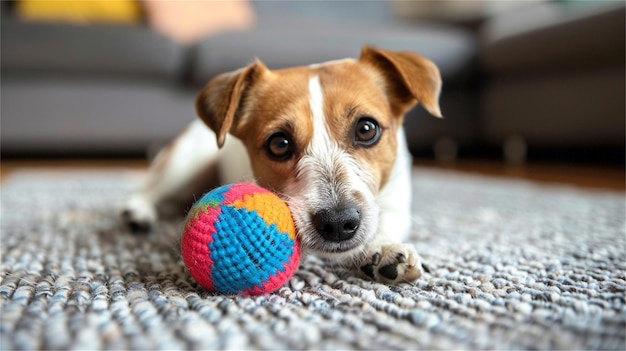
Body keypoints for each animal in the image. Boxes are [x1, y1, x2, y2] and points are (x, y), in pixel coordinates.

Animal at [122, 46, 442, 286]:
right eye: (279, 143)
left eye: (366, 129)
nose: (338, 223)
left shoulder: (396, 200)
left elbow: (387, 221)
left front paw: (383, 248)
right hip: (186, 158)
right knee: (147, 188)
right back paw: (137, 212)